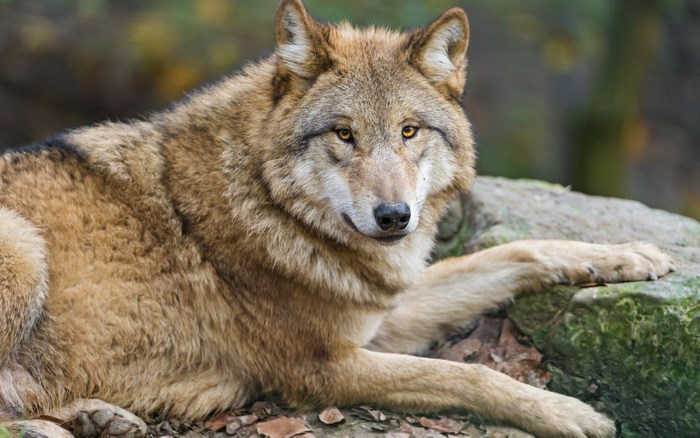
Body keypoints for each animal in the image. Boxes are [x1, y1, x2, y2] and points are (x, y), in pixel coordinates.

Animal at [0, 1, 675, 437]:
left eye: (409, 131)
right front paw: (570, 414)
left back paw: (100, 416)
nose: (394, 217)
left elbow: (515, 251)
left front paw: (628, 256)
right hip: (25, 247)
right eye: (344, 134)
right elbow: (467, 377)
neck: (270, 203)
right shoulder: (324, 366)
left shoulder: (381, 313)